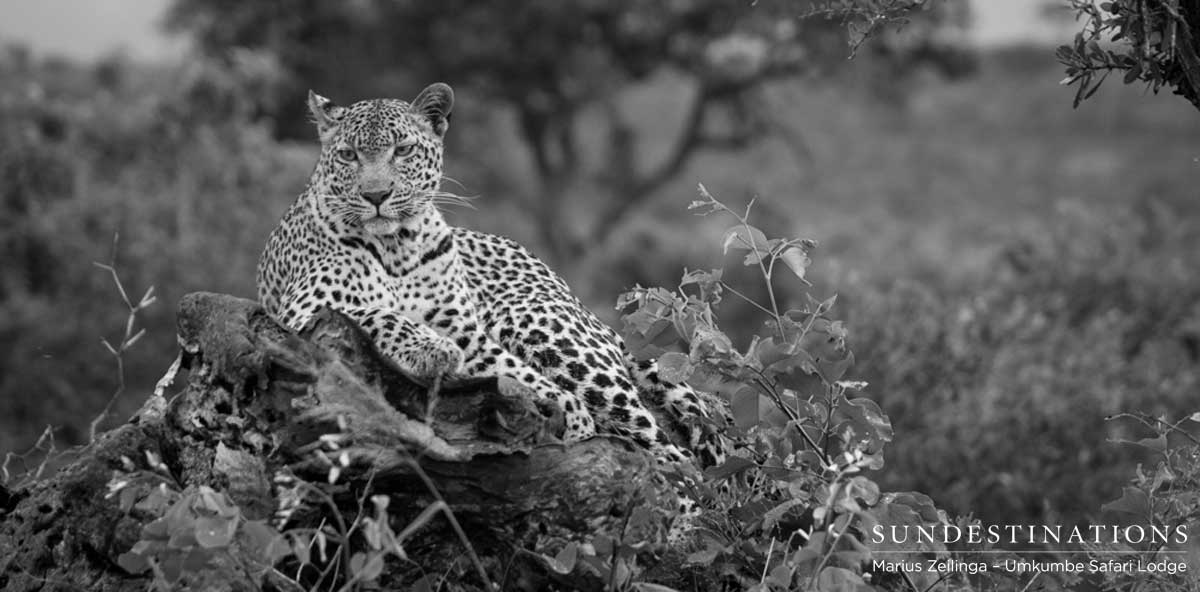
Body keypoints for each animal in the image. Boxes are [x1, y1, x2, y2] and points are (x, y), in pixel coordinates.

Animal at [257, 83, 726, 470]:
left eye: (403, 151)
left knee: (665, 447)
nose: (375, 195)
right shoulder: (303, 314)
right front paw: (432, 349)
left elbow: (516, 372)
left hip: (539, 325)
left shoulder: (470, 334)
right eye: (349, 155)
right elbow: (376, 314)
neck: (396, 248)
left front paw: (572, 416)